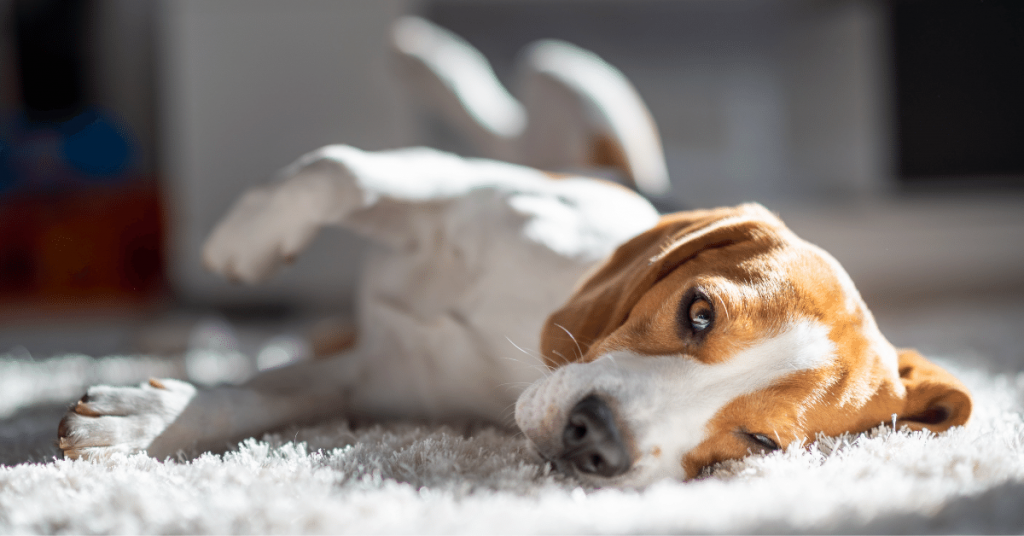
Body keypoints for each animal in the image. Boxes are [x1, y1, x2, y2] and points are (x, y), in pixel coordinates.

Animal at [56, 18, 966, 487]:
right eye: (698, 310)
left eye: (762, 444)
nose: (596, 442)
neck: (523, 336)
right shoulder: (460, 187)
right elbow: (340, 168)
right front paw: (244, 240)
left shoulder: (368, 380)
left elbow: (261, 398)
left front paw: (140, 421)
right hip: (569, 103)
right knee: (514, 106)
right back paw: (427, 55)